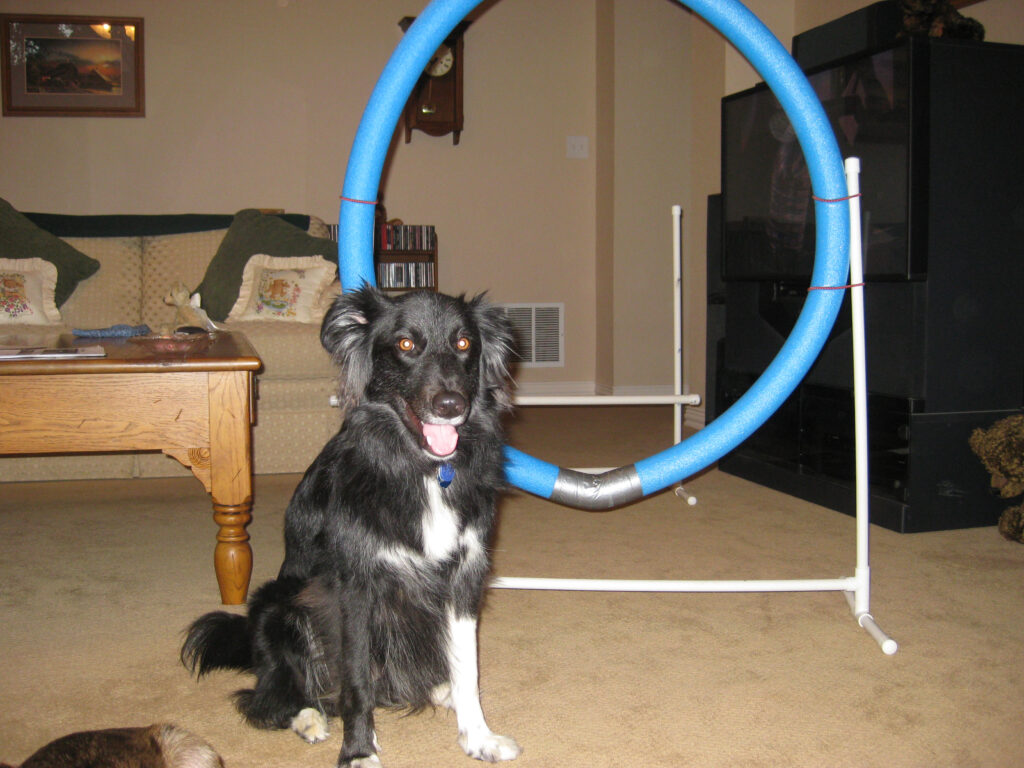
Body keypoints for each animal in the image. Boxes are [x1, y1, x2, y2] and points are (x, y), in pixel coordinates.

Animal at [178, 286, 520, 765]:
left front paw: (478, 737)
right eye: (405, 344)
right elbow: (356, 682)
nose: (452, 406)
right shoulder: (356, 588)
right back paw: (308, 717)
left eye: (464, 343)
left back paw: (438, 690)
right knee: (268, 697)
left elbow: (467, 667)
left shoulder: (464, 578)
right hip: (276, 604)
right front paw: (358, 750)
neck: (422, 469)